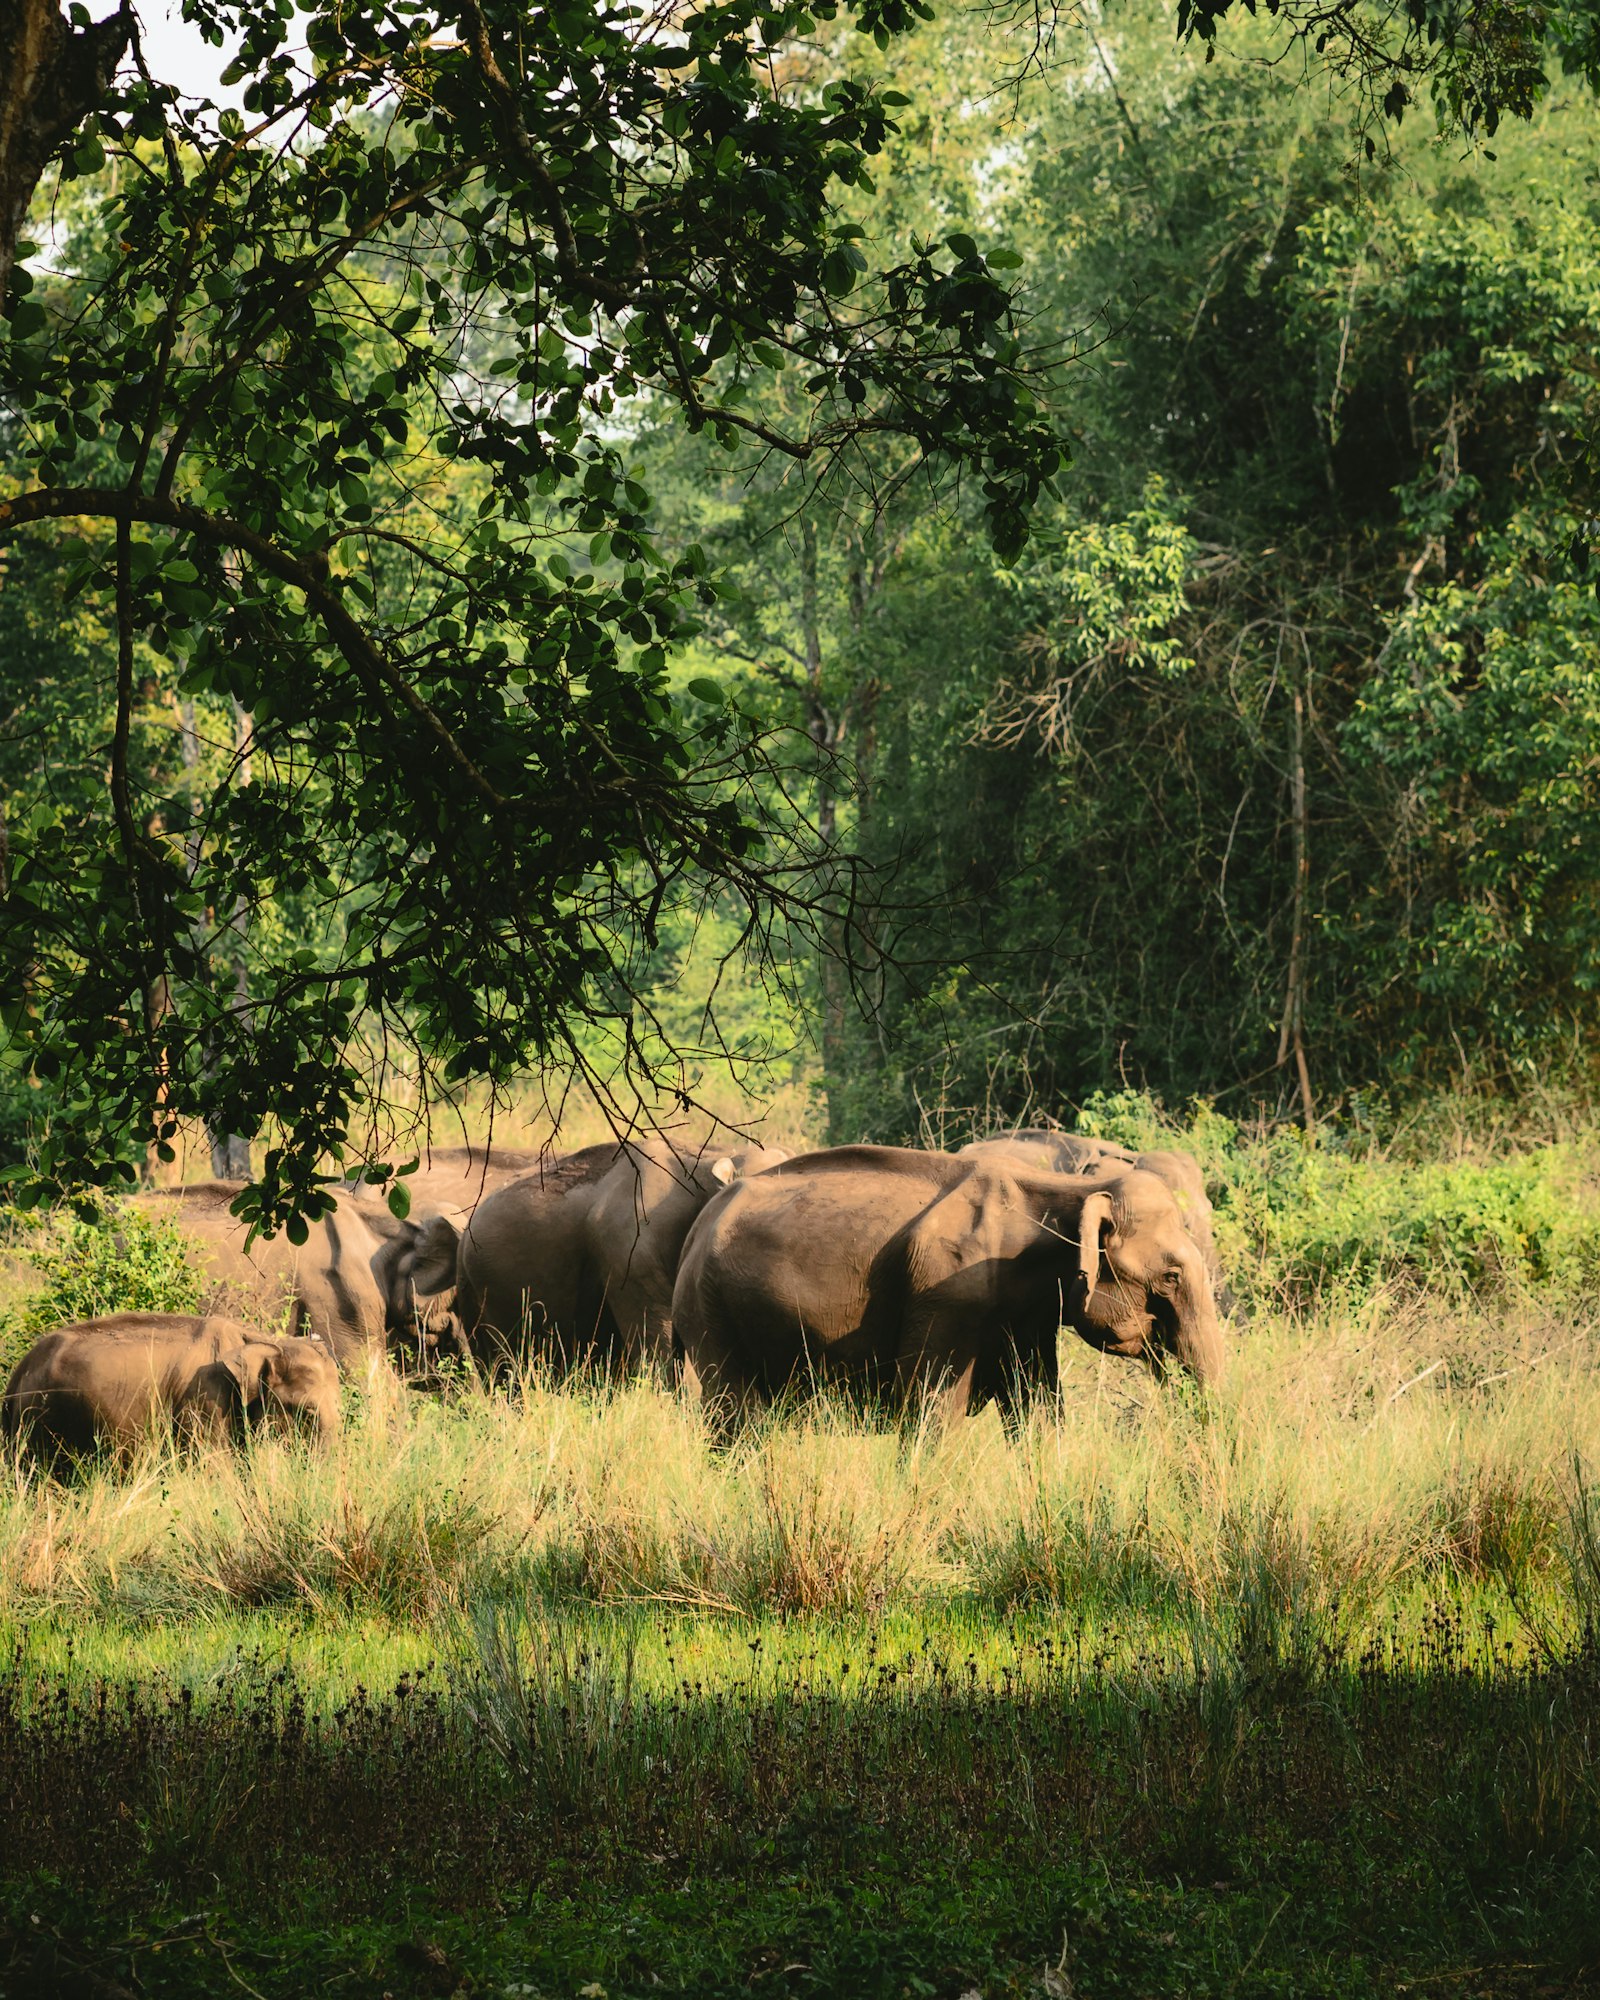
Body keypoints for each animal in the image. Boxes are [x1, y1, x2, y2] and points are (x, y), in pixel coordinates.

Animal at [2, 1313, 342, 1466]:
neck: (260, 1340)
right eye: (306, 1412)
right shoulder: (204, 1397)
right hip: (39, 1421)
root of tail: (18, 1372)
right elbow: (213, 1463)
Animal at [672, 1145, 1226, 1427]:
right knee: (735, 1415)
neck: (1067, 1189)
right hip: (707, 1309)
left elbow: (1039, 1407)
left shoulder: (1026, 1317)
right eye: (1170, 1276)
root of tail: (698, 1224)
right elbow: (932, 1408)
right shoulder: (947, 1290)